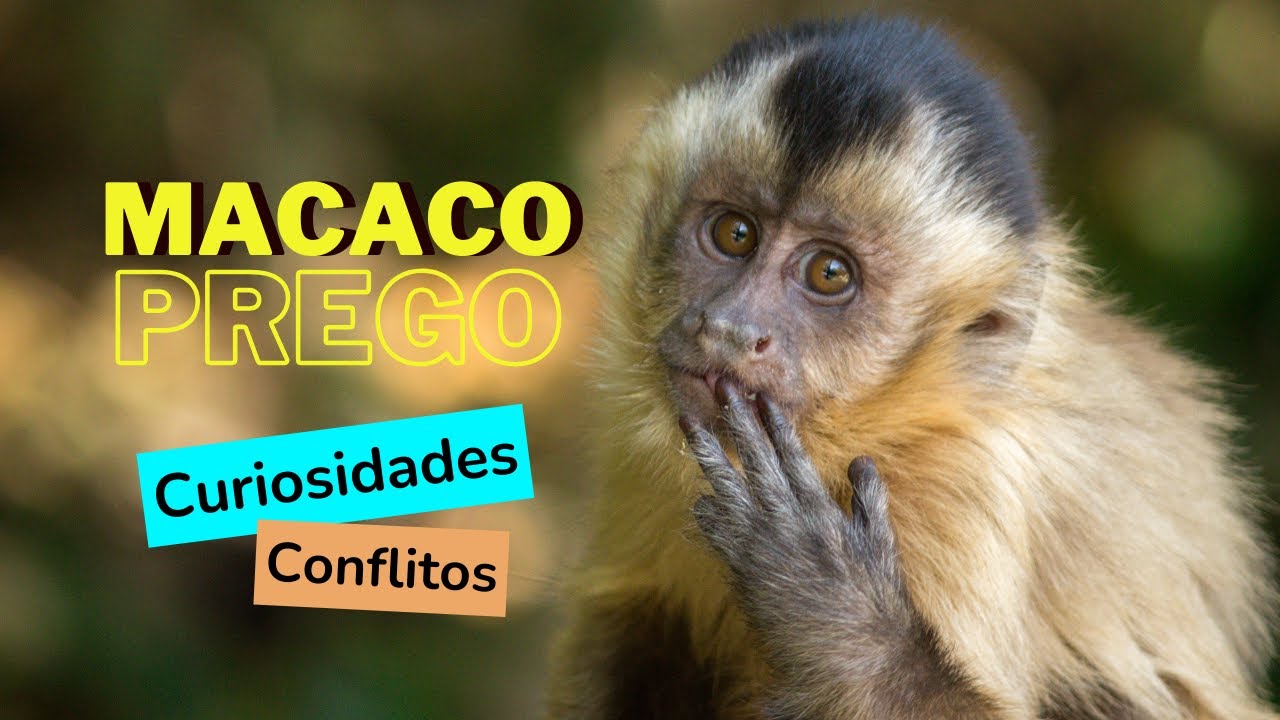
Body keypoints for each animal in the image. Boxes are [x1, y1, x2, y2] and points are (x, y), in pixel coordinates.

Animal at [545, 16, 1277, 720]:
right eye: (735, 233)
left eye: (829, 273)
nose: (730, 329)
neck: (878, 430)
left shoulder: (960, 488)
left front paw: (837, 617)